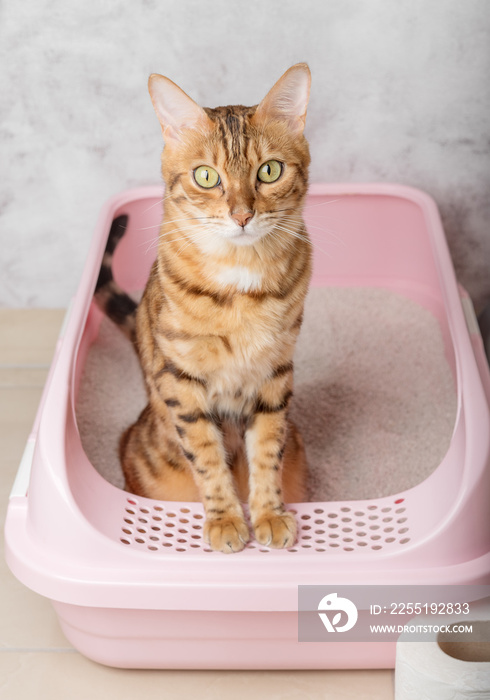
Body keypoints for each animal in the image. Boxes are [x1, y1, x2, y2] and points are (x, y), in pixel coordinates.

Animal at [94, 65, 312, 556]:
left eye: (269, 170)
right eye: (207, 177)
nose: (242, 215)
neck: (241, 282)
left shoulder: (276, 371)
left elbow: (267, 448)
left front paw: (268, 513)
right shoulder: (181, 379)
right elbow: (207, 455)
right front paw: (226, 519)